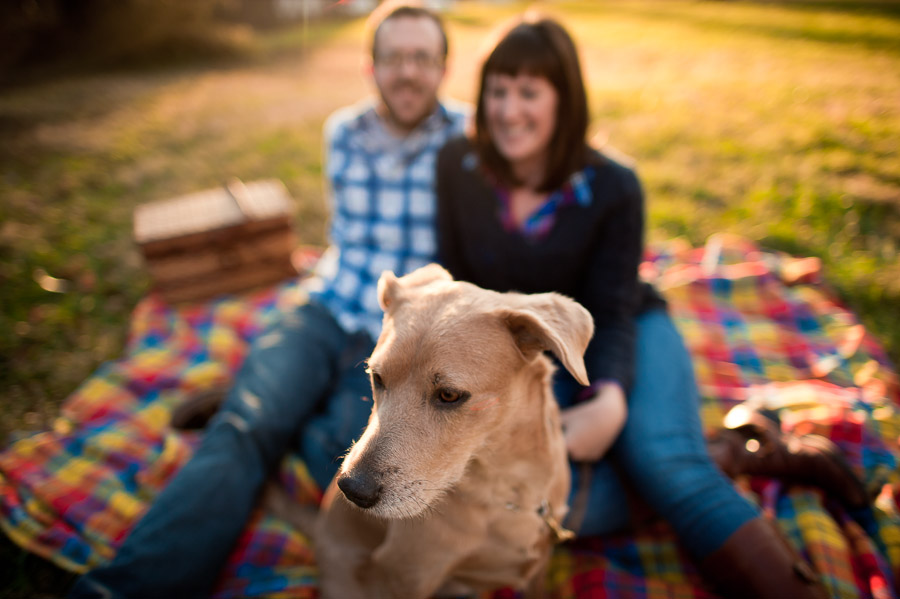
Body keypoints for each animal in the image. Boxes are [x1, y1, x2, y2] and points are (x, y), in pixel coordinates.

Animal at [312, 264, 596, 599]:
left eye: (449, 395)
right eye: (377, 377)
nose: (352, 489)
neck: (507, 488)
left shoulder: (540, 563)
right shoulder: (405, 573)